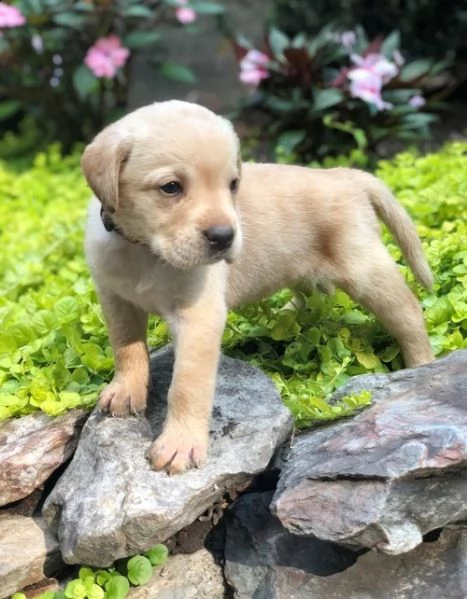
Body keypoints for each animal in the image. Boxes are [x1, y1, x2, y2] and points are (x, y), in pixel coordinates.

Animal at [83, 99, 436, 474]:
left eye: (233, 184)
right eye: (171, 187)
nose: (225, 236)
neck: (144, 250)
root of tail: (344, 174)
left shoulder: (199, 317)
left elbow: (186, 385)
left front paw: (180, 442)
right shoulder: (116, 299)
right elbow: (126, 346)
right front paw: (126, 389)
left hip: (366, 270)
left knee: (409, 313)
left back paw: (422, 363)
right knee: (311, 297)